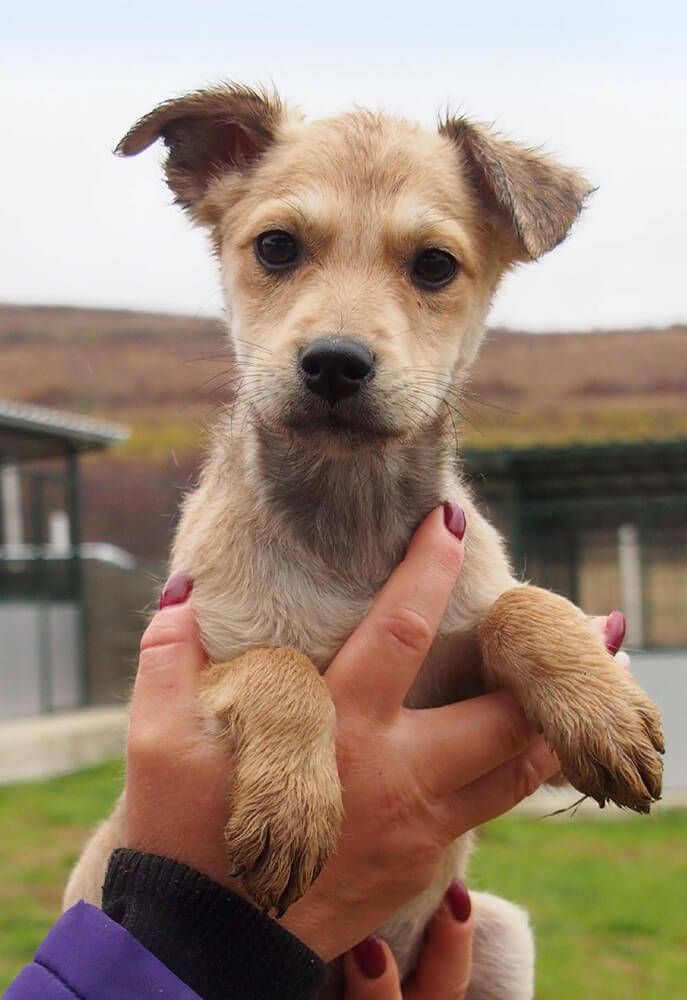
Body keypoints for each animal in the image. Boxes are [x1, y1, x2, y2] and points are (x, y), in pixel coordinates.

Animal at [64, 85, 664, 999]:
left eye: (434, 266)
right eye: (276, 247)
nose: (335, 364)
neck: (346, 522)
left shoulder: (518, 736)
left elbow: (519, 604)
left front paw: (600, 706)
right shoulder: (184, 677)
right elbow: (277, 665)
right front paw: (292, 807)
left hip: (501, 933)